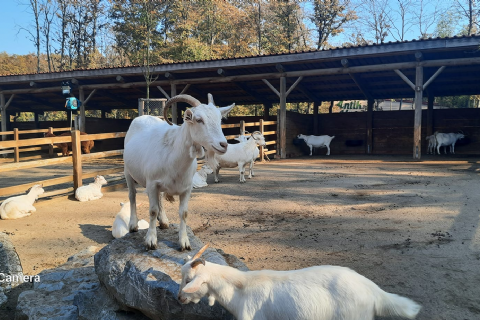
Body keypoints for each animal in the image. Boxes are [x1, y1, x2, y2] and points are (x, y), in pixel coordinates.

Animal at [123, 93, 235, 250]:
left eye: (219, 119)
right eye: (199, 120)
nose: (223, 145)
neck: (173, 154)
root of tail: (142, 117)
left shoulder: (186, 188)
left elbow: (184, 213)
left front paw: (184, 242)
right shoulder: (152, 183)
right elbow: (152, 210)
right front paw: (151, 240)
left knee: (160, 198)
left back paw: (164, 221)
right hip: (127, 171)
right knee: (132, 195)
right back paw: (133, 225)